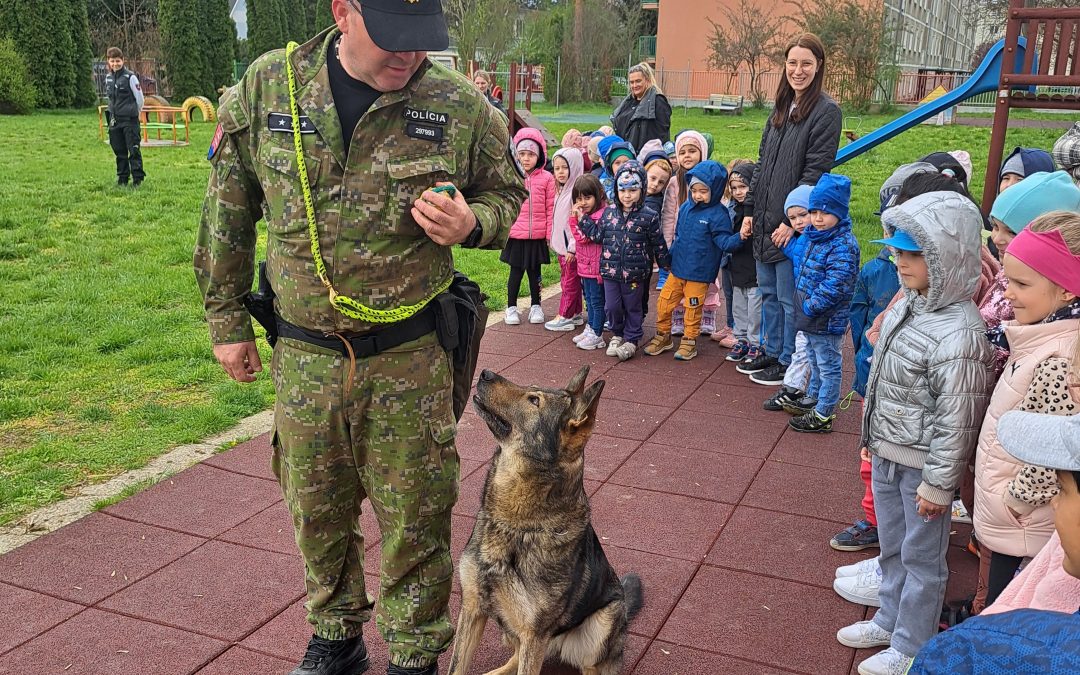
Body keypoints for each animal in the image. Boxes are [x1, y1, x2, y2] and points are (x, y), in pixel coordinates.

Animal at [447, 369, 639, 673]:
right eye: (531, 389)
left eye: (534, 400)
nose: (486, 373)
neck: (515, 524)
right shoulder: (473, 609)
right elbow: (456, 667)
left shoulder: (534, 633)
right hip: (511, 629)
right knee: (515, 656)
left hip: (604, 622)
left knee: (595, 666)